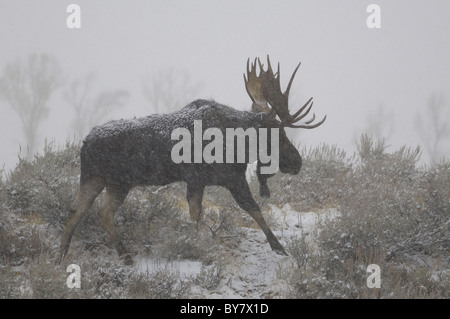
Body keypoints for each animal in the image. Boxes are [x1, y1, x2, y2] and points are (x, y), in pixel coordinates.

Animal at [59, 55, 326, 264]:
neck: (238, 141)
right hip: (119, 181)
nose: (297, 162)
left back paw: (62, 255)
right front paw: (278, 247)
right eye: (277, 132)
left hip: (95, 178)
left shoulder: (202, 181)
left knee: (76, 210)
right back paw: (124, 255)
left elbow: (199, 214)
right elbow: (251, 209)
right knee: (102, 213)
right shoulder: (226, 178)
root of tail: (84, 145)